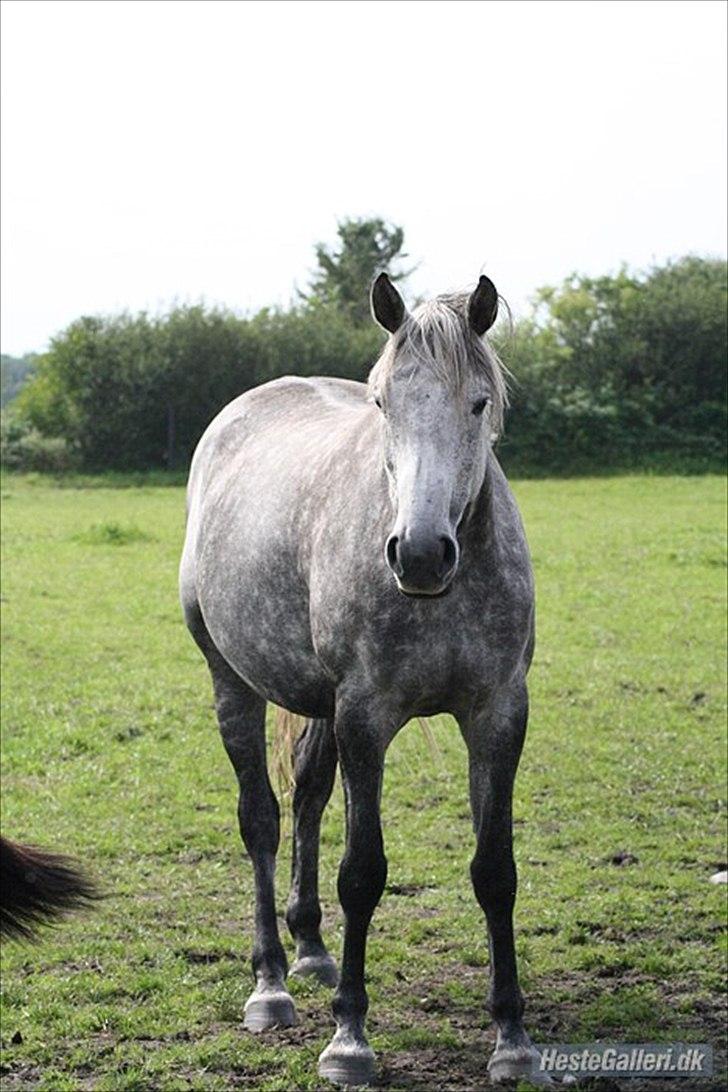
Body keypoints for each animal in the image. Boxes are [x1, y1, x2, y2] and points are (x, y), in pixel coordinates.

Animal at [176, 273, 541, 1083]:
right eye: (382, 404)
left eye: (478, 403)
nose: (421, 554)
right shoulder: (365, 718)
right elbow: (363, 872)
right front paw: (348, 1038)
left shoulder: (498, 713)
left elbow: (496, 870)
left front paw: (512, 1037)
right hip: (231, 683)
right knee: (261, 820)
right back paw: (271, 984)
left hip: (319, 703)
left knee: (308, 797)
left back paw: (312, 950)